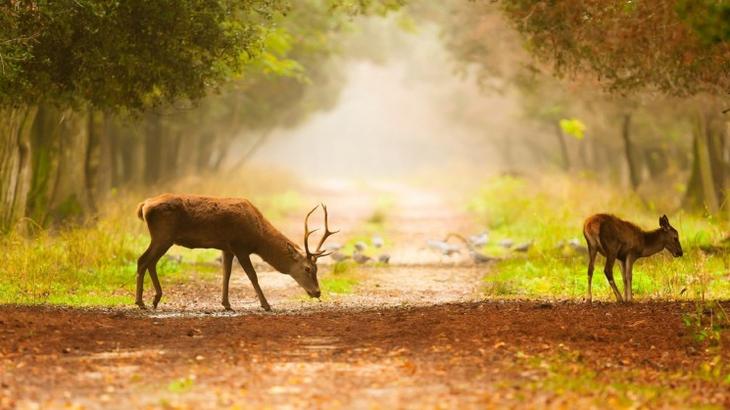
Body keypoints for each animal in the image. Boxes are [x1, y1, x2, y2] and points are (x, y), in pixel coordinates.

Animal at [135, 195, 336, 310]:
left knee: (149, 261)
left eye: (317, 269)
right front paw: (266, 304)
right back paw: (141, 302)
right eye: (307, 268)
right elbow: (252, 275)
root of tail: (143, 205)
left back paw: (154, 299)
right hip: (163, 235)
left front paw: (226, 304)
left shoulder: (227, 248)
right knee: (143, 260)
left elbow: (226, 274)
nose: (317, 292)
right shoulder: (240, 246)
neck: (258, 237)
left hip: (163, 237)